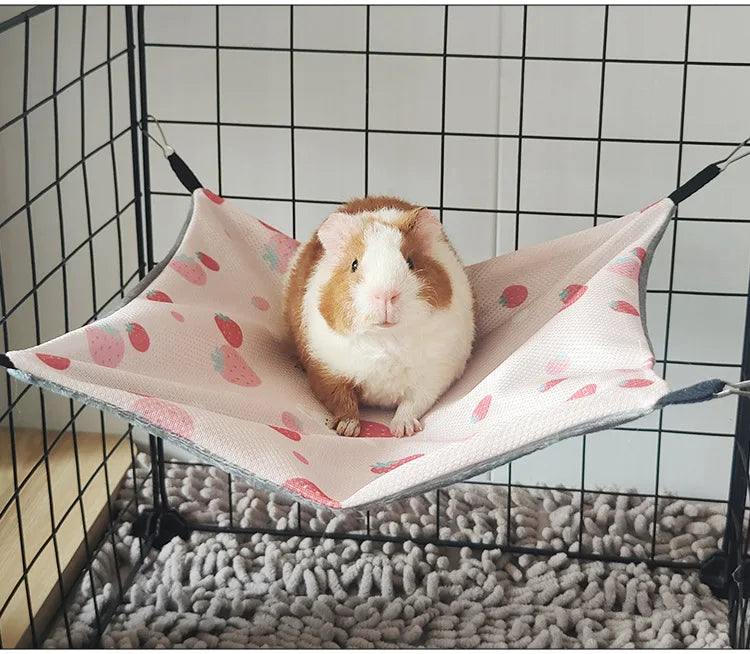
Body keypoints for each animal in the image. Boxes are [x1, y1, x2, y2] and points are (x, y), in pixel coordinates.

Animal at [283, 196, 475, 438]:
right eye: (354, 264)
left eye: (410, 262)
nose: (385, 295)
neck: (385, 339)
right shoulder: (326, 371)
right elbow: (342, 401)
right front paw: (347, 430)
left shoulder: (433, 378)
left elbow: (412, 404)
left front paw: (402, 431)